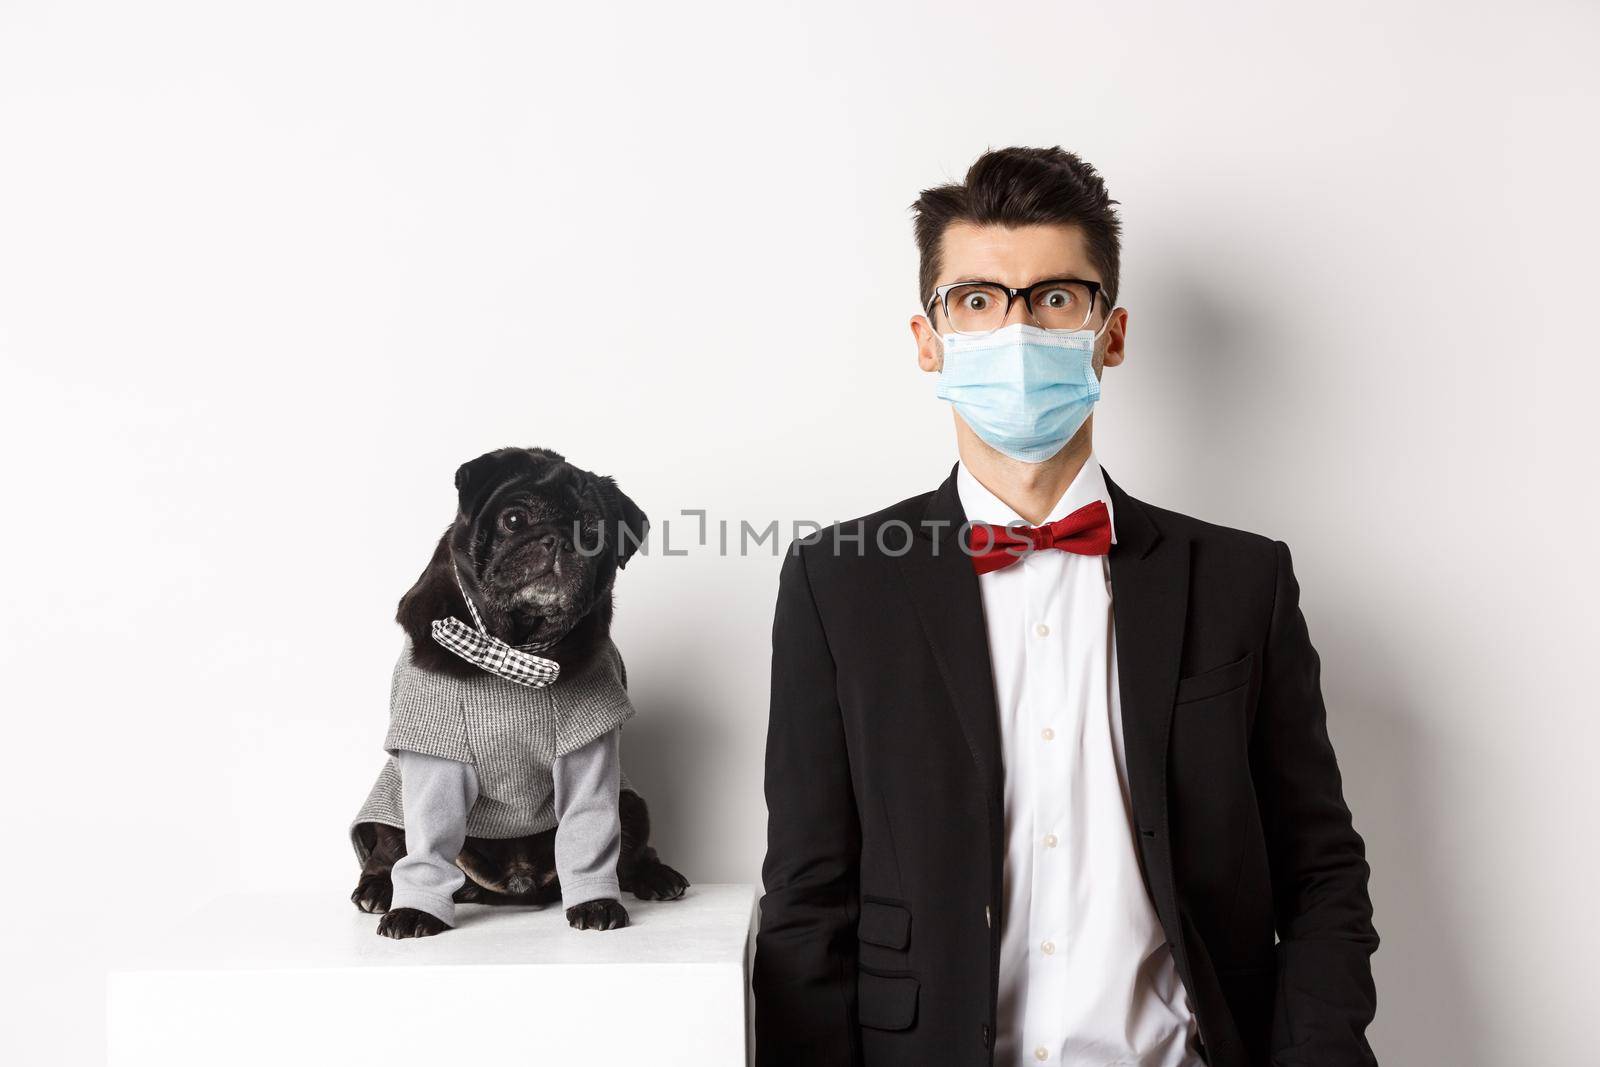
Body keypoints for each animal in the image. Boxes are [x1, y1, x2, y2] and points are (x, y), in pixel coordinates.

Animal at [352, 447, 688, 940]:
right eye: (514, 519)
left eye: (594, 536)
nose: (559, 541)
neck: (515, 649)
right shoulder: (435, 759)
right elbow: (426, 848)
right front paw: (415, 910)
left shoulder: (589, 758)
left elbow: (591, 837)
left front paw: (597, 901)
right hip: (391, 802)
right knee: (386, 851)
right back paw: (379, 888)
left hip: (631, 803)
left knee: (632, 851)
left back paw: (656, 876)